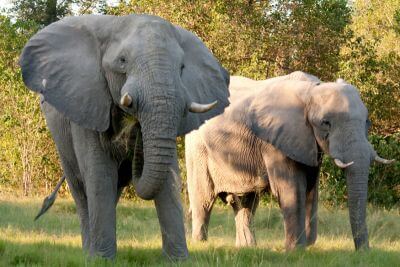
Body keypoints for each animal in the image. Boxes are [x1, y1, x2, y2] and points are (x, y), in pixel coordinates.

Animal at [18, 14, 230, 260]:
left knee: (114, 189)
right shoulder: (88, 103)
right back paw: (88, 252)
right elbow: (99, 174)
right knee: (81, 190)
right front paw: (101, 260)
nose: (136, 134)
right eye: (122, 60)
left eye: (182, 67)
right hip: (61, 136)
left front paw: (178, 260)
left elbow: (168, 177)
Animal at [185, 71, 394, 251]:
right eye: (325, 123)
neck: (312, 90)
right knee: (203, 201)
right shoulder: (276, 141)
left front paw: (307, 246)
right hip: (197, 150)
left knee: (246, 203)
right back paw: (201, 244)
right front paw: (296, 250)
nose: (364, 252)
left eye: (367, 122)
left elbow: (311, 188)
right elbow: (292, 188)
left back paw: (247, 248)